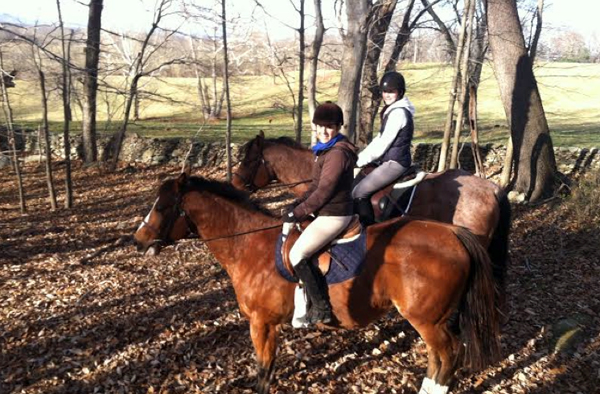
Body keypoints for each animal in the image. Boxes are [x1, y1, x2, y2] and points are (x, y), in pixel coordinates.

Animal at [135, 172, 502, 394]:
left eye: (162, 206)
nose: (138, 240)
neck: (248, 245)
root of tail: (453, 233)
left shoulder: (262, 324)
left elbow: (264, 370)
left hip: (427, 320)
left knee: (448, 355)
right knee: (439, 358)